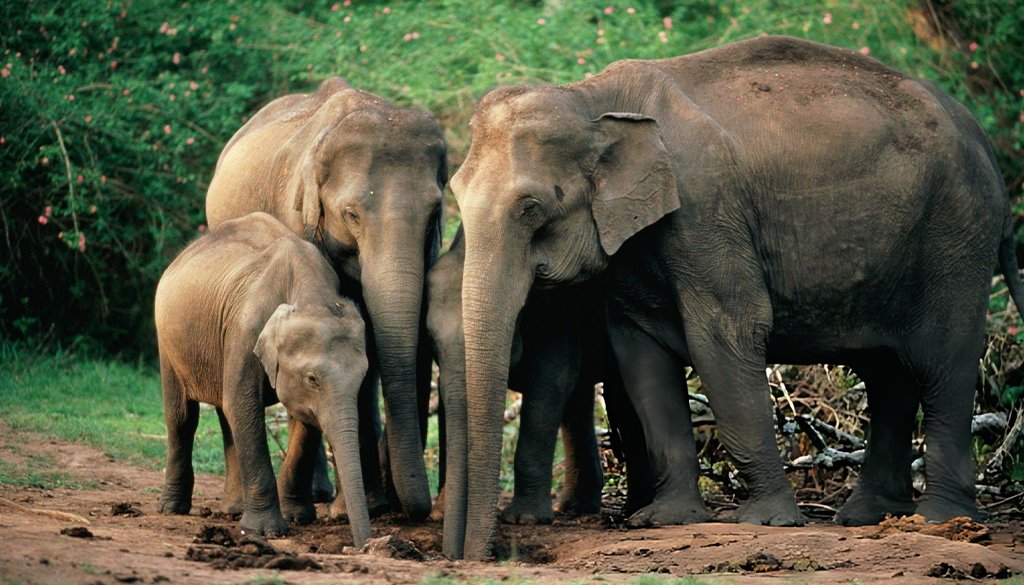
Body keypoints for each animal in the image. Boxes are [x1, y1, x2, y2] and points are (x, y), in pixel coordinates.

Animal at [154, 212, 371, 546]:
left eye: (363, 377)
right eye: (312, 378)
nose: (363, 545)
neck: (311, 294)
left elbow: (304, 421)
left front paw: (297, 517)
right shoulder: (245, 330)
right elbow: (244, 407)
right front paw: (267, 531)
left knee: (224, 413)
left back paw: (233, 509)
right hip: (168, 341)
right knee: (183, 417)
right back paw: (172, 508)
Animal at [205, 77, 447, 520]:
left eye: (435, 213)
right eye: (351, 214)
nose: (415, 509)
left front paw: (366, 505)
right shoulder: (298, 217)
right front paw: (347, 509)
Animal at [425, 225, 606, 526]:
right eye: (430, 336)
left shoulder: (558, 306)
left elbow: (553, 377)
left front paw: (525, 519)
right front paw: (440, 514)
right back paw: (575, 506)